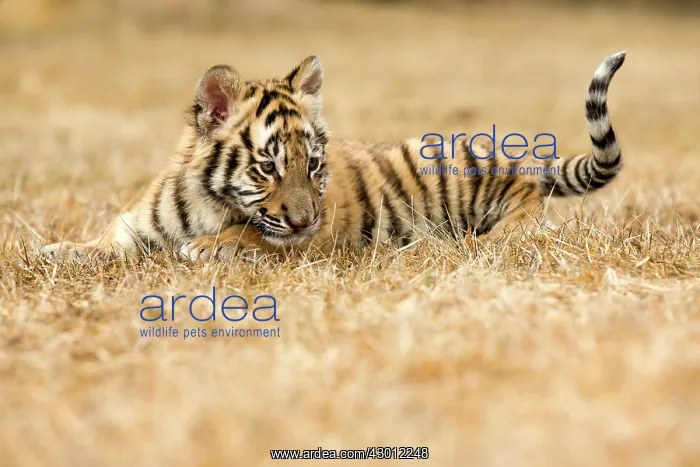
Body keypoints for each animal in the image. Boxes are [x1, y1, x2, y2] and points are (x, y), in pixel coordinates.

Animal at [39, 52, 626, 262]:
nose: (305, 219)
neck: (210, 201)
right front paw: (56, 250)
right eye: (267, 167)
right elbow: (104, 241)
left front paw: (208, 247)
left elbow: (252, 234)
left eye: (314, 166)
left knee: (525, 218)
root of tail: (519, 163)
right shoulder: (136, 226)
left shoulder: (309, 241)